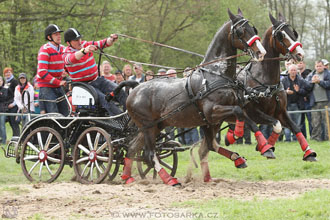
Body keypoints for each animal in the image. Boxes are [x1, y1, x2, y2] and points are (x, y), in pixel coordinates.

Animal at [120, 8, 270, 186]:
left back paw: (127, 177)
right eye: (241, 31)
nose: (261, 52)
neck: (215, 74)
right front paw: (248, 139)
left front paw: (251, 145)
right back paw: (169, 179)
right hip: (148, 127)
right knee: (150, 154)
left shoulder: (214, 119)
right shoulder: (212, 112)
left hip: (154, 126)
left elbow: (243, 118)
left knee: (132, 149)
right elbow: (239, 112)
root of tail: (133, 91)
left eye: (253, 29)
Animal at [226, 13, 316, 162]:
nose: (300, 54)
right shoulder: (254, 112)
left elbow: (295, 127)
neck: (265, 81)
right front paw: (265, 148)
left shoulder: (281, 111)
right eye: (281, 35)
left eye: (293, 33)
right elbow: (277, 125)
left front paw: (308, 152)